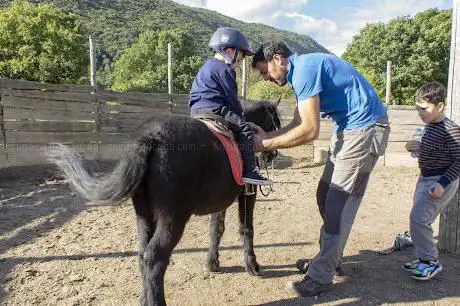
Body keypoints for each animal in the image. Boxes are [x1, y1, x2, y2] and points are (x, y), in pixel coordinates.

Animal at [49, 101, 280, 306]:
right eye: (275, 122)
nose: (272, 154)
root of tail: (149, 137)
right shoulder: (248, 194)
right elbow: (246, 229)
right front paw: (252, 265)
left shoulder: (220, 202)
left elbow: (216, 229)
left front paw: (213, 263)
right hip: (173, 217)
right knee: (155, 257)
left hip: (144, 214)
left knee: (143, 255)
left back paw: (144, 299)